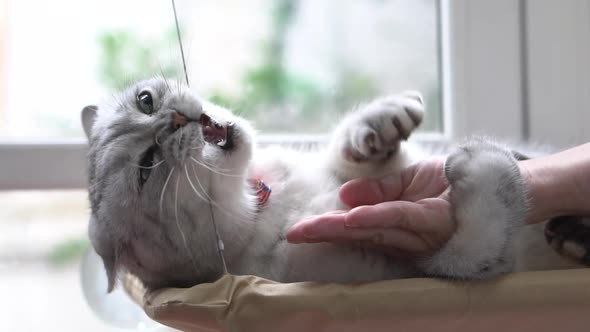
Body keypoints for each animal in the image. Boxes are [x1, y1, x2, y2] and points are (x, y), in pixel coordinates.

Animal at [81, 77, 580, 290]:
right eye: (147, 166)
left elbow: (350, 148)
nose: (175, 118)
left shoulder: (356, 175)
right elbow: (482, 232)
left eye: (146, 100)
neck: (264, 201)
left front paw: (382, 124)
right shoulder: (426, 270)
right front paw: (480, 160)